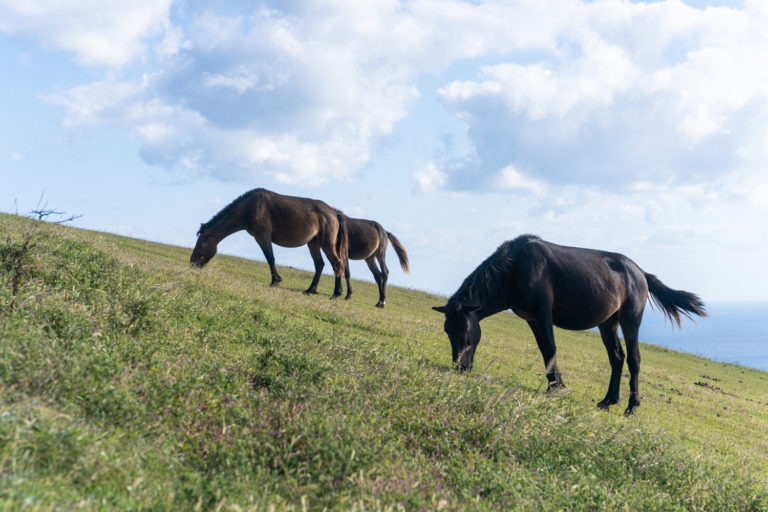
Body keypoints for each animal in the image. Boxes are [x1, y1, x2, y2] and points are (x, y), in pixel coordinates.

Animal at [190, 188, 348, 299]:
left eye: (200, 245)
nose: (192, 264)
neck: (250, 207)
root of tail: (334, 213)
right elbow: (270, 258)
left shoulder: (263, 237)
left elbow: (270, 258)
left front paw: (275, 281)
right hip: (313, 243)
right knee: (319, 265)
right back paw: (310, 290)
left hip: (326, 243)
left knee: (336, 264)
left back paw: (336, 293)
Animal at [432, 234, 706, 416]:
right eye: (447, 331)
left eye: (465, 329)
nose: (461, 368)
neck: (515, 268)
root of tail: (640, 272)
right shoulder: (532, 319)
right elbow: (545, 350)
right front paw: (554, 384)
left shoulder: (543, 314)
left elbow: (551, 348)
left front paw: (557, 386)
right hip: (608, 323)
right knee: (617, 358)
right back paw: (608, 401)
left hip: (630, 320)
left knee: (634, 360)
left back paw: (631, 407)